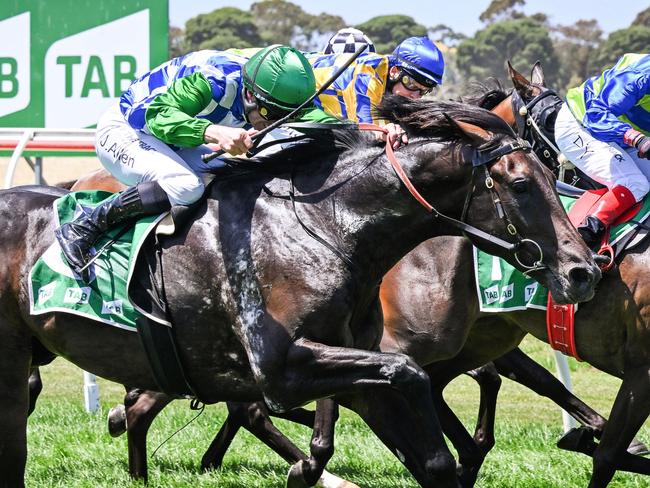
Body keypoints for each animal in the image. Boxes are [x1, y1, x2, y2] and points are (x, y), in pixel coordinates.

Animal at [1, 97, 596, 486]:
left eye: (552, 175)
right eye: (521, 183)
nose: (583, 270)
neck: (329, 227)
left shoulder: (361, 370)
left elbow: (434, 457)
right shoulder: (283, 367)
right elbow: (409, 375)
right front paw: (307, 465)